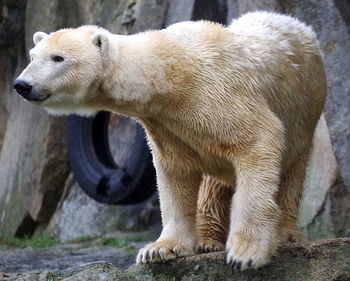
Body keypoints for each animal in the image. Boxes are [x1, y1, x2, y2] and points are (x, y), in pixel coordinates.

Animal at [13, 12, 326, 270]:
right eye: (32, 55)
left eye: (58, 58)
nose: (21, 85)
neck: (169, 75)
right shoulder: (168, 126)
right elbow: (175, 175)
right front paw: (159, 249)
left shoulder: (219, 96)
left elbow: (258, 140)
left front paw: (245, 254)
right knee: (214, 183)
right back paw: (207, 240)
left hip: (305, 110)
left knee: (292, 172)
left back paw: (286, 234)